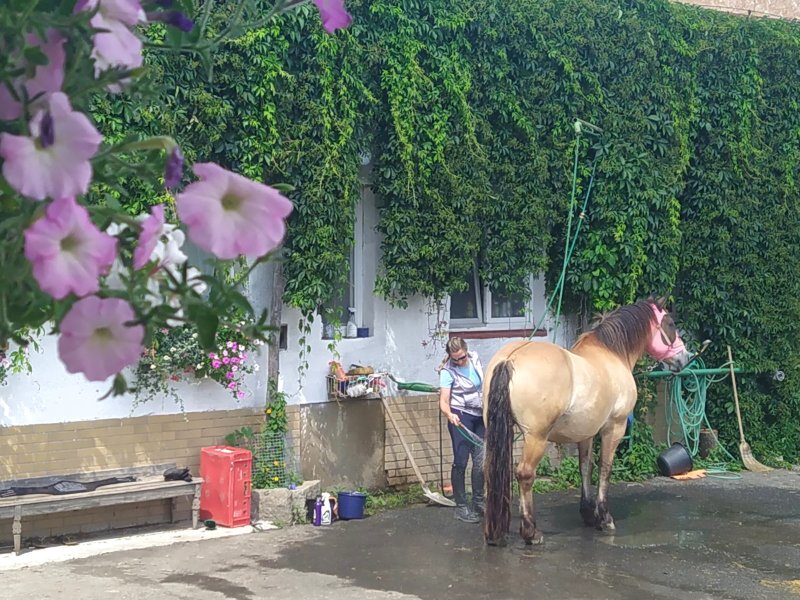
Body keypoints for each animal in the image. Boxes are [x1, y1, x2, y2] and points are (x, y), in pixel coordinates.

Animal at [482, 298, 692, 548]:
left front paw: (588, 514)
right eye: (671, 323)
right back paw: (531, 532)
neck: (611, 353)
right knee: (525, 474)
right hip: (536, 437)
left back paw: (495, 533)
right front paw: (604, 517)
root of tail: (510, 359)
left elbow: (585, 467)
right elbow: (605, 468)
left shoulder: (586, 433)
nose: (686, 358)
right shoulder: (614, 427)